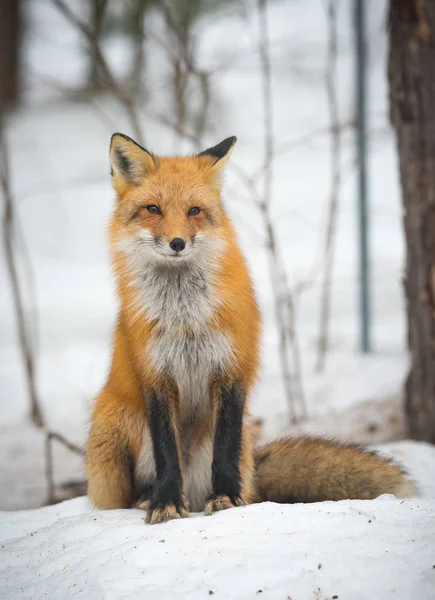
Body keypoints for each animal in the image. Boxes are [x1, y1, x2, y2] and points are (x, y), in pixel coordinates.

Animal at [87, 134, 418, 524]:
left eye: (194, 211)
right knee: (122, 494)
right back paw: (145, 498)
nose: (177, 243)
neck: (185, 317)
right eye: (153, 209)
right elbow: (166, 451)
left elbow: (225, 447)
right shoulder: (155, 377)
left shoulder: (232, 368)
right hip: (113, 428)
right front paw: (165, 502)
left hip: (234, 441)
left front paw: (227, 498)